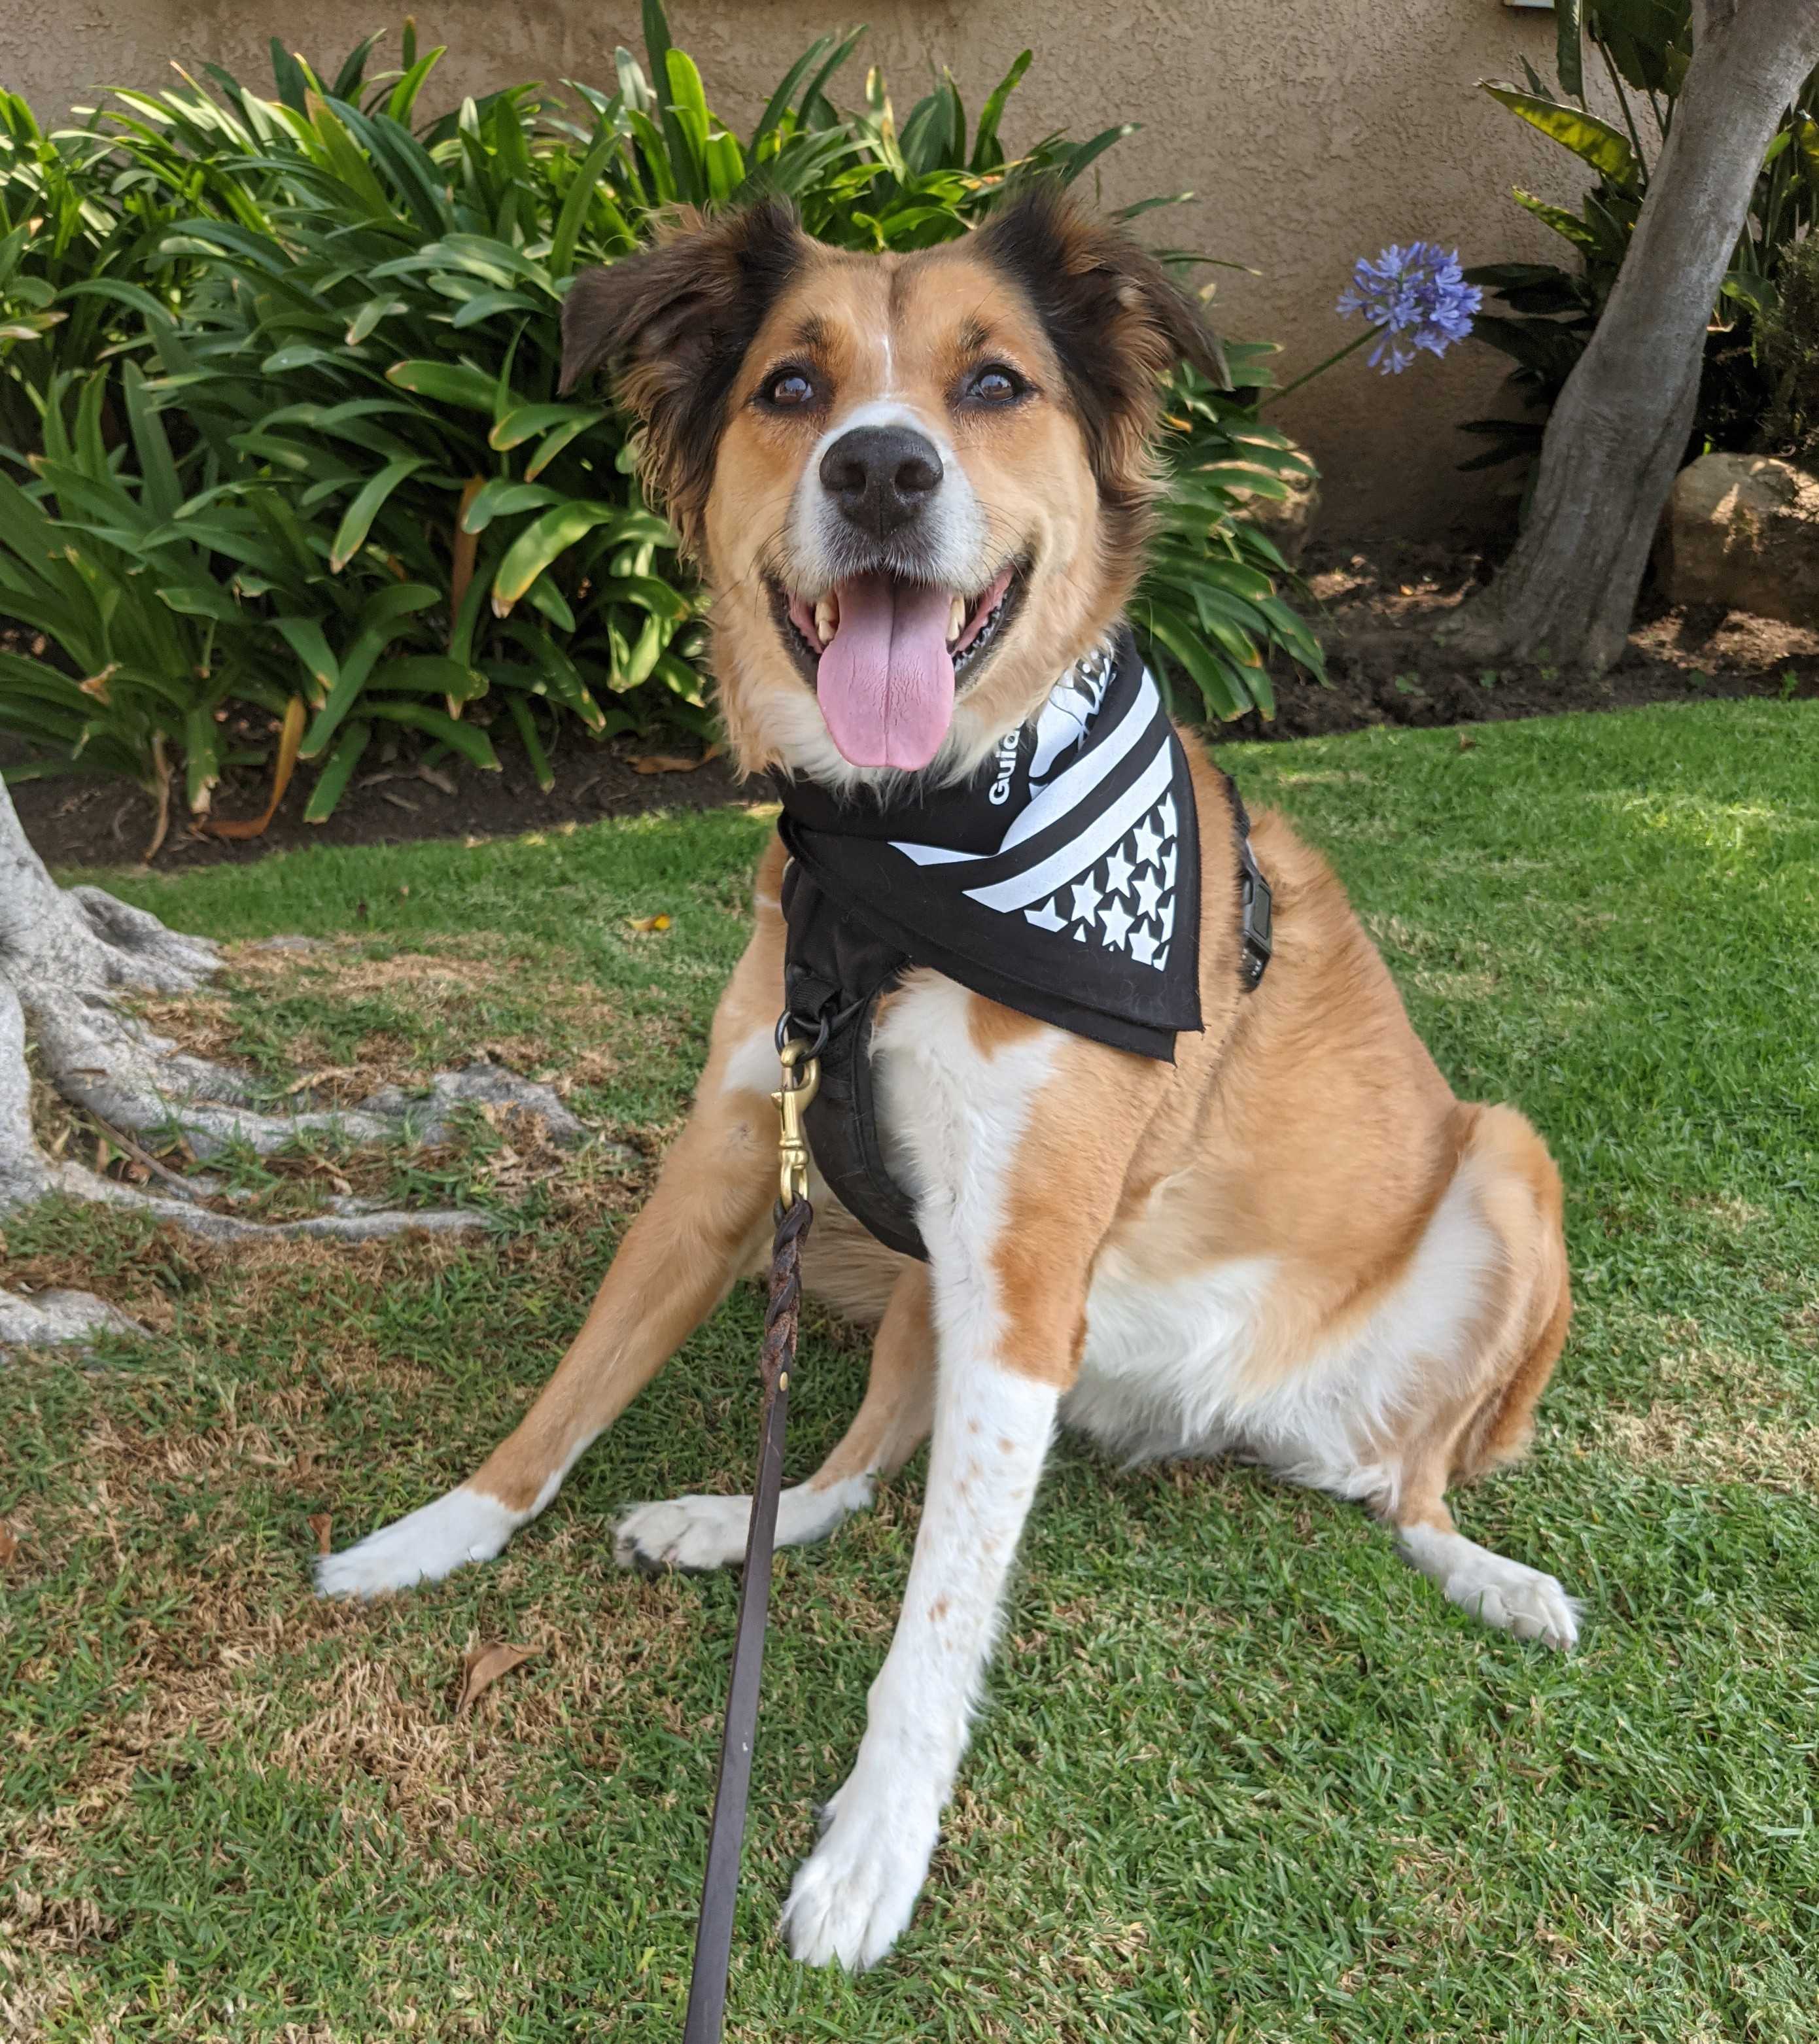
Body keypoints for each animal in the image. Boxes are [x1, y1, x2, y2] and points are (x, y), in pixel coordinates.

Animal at [322, 184, 1578, 1970]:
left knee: (1413, 1489)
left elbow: (938, 1617)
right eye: (792, 387)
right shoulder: (731, 1159)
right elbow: (570, 1393)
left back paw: (1493, 1576)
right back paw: (733, 1519)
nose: (879, 471)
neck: (904, 852)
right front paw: (435, 1535)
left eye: (993, 386)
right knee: (859, 1457)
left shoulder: (1026, 1267)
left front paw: (872, 1849)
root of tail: (1232, 1425)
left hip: (1507, 1167)